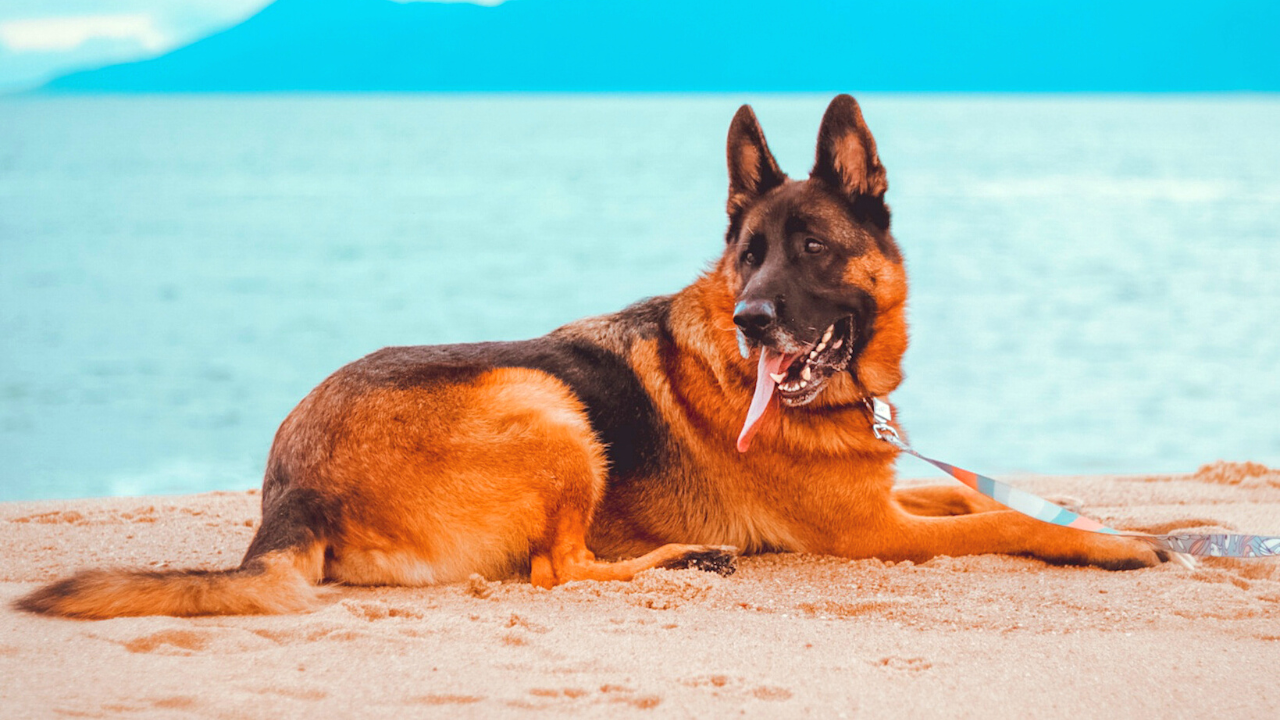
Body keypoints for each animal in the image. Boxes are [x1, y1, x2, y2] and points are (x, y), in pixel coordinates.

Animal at [15, 92, 1167, 614]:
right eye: (745, 257)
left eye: (809, 249)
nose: (752, 321)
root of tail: (291, 488)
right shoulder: (870, 533)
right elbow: (1004, 519)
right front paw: (1109, 544)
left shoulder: (881, 496)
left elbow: (974, 494)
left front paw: (1141, 519)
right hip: (543, 402)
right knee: (554, 570)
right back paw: (686, 557)